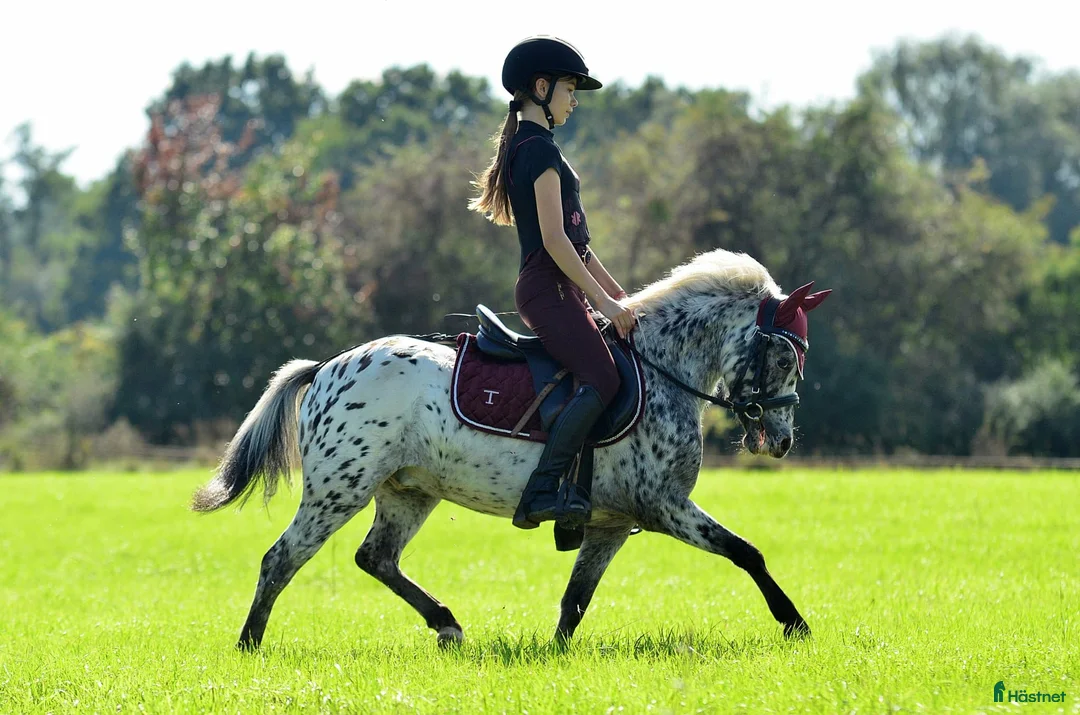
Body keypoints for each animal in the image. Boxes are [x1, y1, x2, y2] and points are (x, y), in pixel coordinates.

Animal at [191, 248, 831, 650]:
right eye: (783, 356)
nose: (780, 442)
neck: (663, 370)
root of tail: (327, 367)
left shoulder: (612, 524)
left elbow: (576, 600)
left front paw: (555, 656)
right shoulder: (665, 505)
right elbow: (747, 553)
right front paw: (794, 623)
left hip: (407, 492)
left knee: (376, 558)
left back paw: (447, 625)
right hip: (337, 489)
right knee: (281, 559)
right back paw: (249, 645)